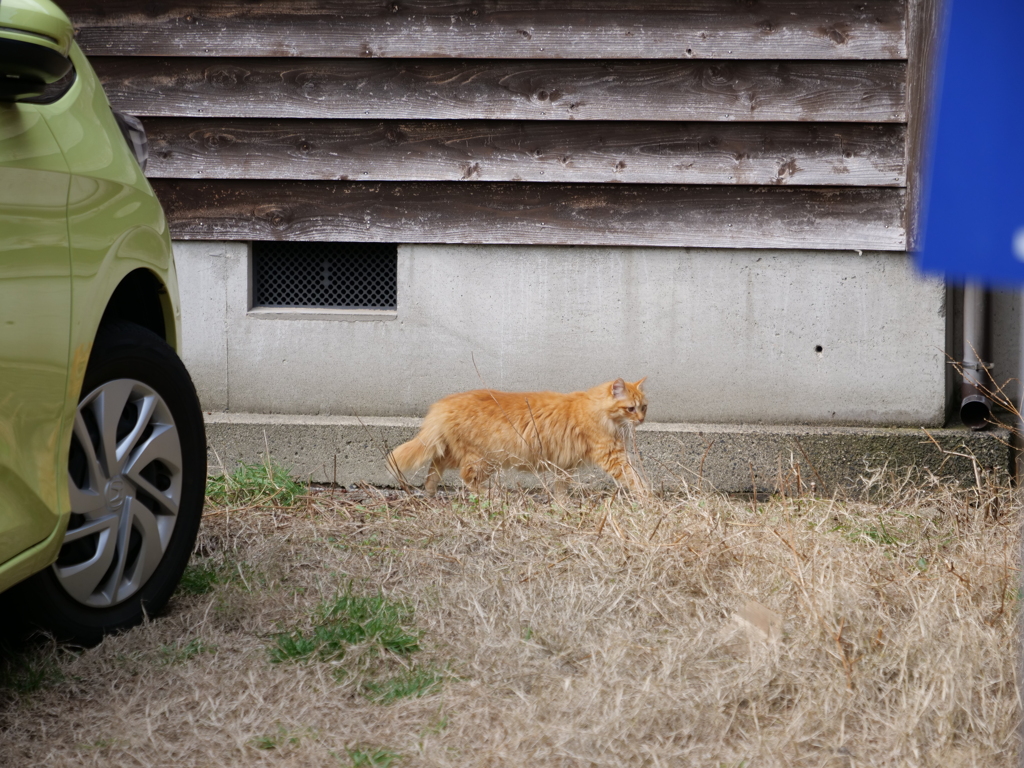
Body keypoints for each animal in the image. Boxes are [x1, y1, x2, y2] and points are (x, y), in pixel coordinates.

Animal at [387, 380, 643, 499]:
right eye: (631, 408)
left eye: (644, 407)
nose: (640, 419)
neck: (595, 409)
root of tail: (444, 403)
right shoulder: (612, 456)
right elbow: (636, 479)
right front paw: (647, 499)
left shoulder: (565, 465)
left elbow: (561, 488)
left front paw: (562, 505)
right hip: (484, 459)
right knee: (466, 478)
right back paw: (492, 495)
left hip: (457, 453)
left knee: (435, 466)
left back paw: (430, 492)